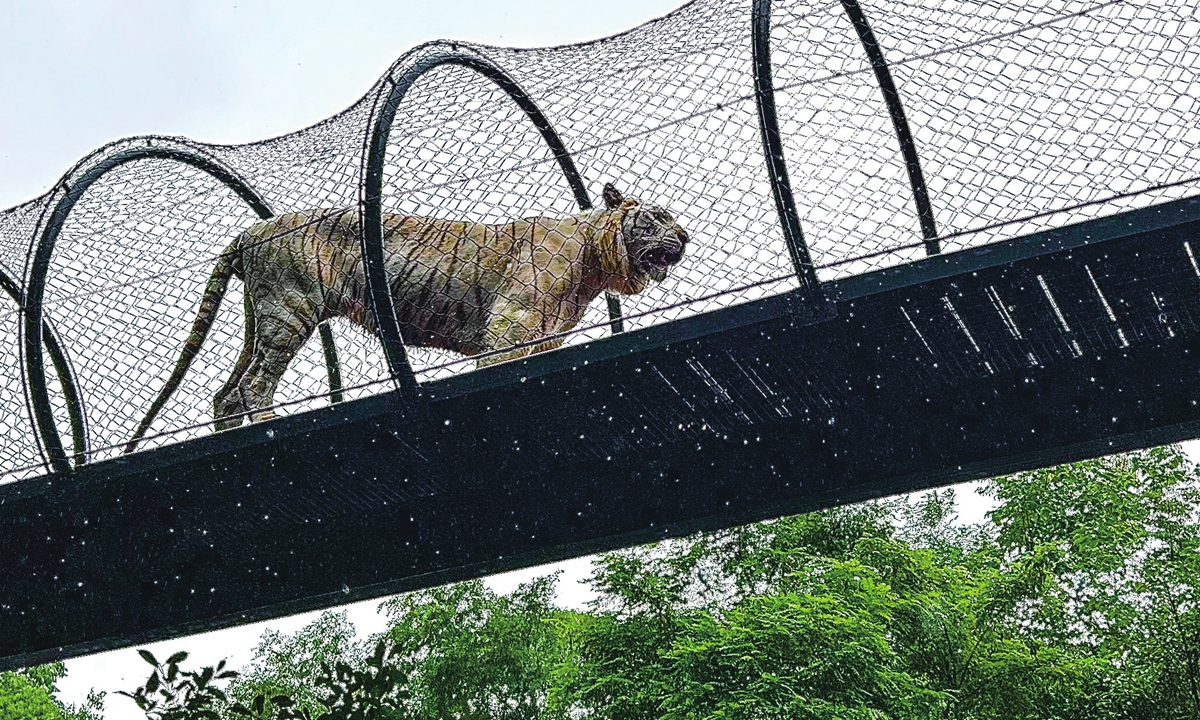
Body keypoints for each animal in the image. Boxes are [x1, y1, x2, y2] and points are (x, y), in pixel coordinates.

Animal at [123, 186, 691, 453]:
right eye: (658, 217)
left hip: (258, 317)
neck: (594, 262)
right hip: (289, 310)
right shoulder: (511, 325)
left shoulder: (545, 338)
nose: (685, 236)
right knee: (254, 385)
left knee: (225, 393)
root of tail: (249, 231)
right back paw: (267, 425)